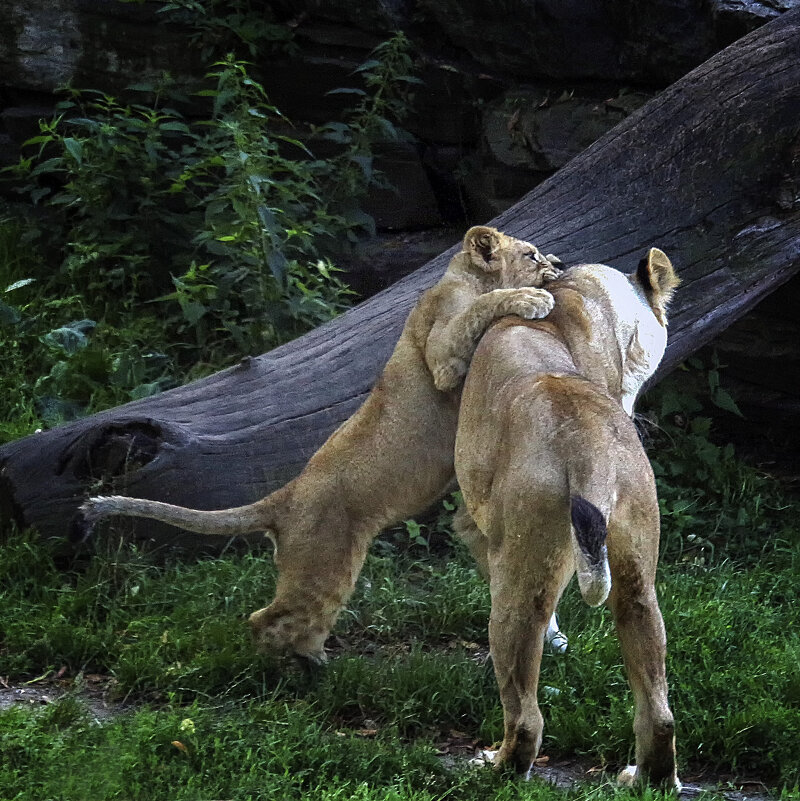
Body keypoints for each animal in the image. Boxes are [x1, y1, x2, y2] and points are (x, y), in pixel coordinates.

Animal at [75, 225, 564, 664]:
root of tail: (285, 496)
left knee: (295, 621)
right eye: (531, 255)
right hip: (325, 564)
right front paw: (531, 299)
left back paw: (316, 663)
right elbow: (482, 307)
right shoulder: (442, 353)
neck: (461, 276)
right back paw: (298, 677)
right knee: (265, 620)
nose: (558, 266)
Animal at [456, 250, 680, 788]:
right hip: (637, 579)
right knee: (659, 709)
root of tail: (587, 447)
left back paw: (496, 766)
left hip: (517, 576)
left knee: (525, 715)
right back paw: (649, 780)